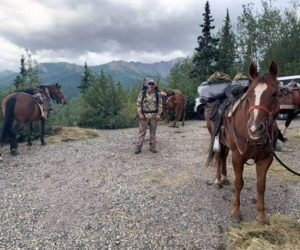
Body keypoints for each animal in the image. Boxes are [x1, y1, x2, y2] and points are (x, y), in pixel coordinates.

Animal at [206, 61, 282, 224]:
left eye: (275, 93)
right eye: (249, 95)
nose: (255, 128)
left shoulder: (266, 159)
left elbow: (261, 185)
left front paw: (261, 215)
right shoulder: (238, 157)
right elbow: (239, 183)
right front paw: (236, 212)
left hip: (226, 143)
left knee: (223, 156)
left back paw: (225, 178)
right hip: (216, 139)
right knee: (218, 157)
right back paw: (218, 181)